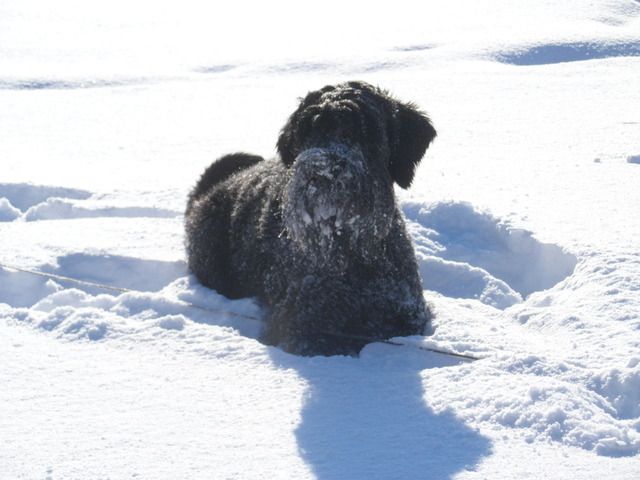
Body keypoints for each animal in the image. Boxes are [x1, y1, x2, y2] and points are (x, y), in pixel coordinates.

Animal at [185, 81, 436, 356]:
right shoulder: (305, 325)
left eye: (366, 129)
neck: (350, 252)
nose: (323, 170)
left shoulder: (406, 313)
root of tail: (210, 190)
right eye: (308, 129)